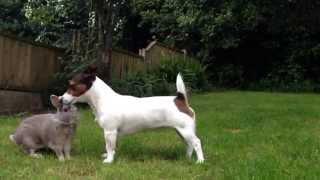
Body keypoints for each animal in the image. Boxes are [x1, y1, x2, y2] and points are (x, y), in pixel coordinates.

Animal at [60, 65, 205, 163]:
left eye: (72, 86)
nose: (61, 99)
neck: (103, 99)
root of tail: (180, 99)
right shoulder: (114, 133)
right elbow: (112, 147)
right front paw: (110, 156)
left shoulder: (109, 131)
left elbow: (108, 146)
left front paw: (109, 160)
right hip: (181, 131)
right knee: (189, 144)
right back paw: (187, 158)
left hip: (185, 130)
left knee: (197, 142)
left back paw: (200, 161)